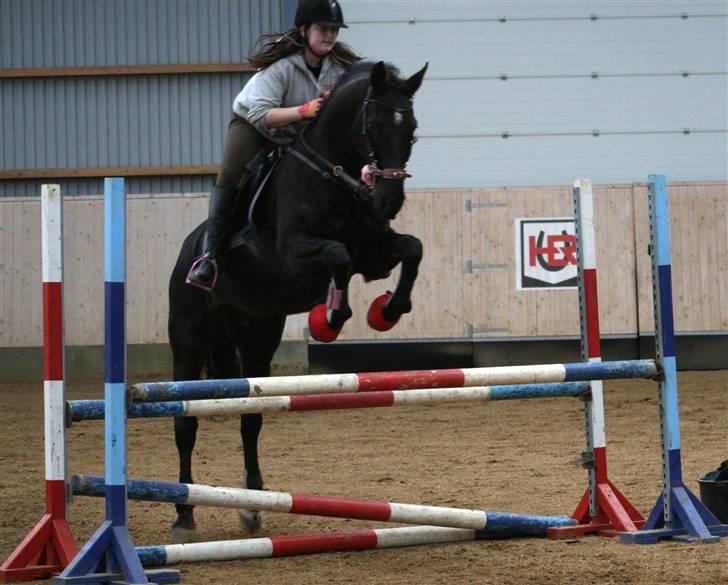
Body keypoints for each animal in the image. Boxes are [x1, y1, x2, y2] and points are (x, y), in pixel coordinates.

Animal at [166, 59, 426, 540]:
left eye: (413, 129)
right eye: (375, 124)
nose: (390, 200)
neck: (333, 173)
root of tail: (186, 253)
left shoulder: (374, 251)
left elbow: (411, 249)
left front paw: (388, 310)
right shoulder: (294, 254)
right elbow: (337, 257)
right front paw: (331, 317)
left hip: (256, 338)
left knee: (251, 419)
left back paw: (252, 506)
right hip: (189, 340)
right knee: (185, 421)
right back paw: (184, 514)